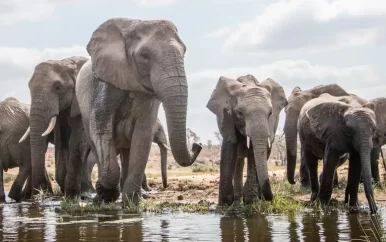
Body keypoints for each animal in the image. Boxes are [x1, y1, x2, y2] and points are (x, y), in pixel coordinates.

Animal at [20, 55, 91, 198]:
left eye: (58, 87)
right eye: (29, 87)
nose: (40, 191)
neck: (66, 62)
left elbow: (77, 139)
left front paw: (72, 194)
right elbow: (61, 141)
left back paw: (87, 192)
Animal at [74, 18, 202, 205]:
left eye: (184, 52)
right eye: (144, 56)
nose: (197, 145)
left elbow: (142, 136)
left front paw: (132, 202)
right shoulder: (105, 83)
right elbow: (101, 130)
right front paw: (105, 193)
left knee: (126, 151)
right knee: (95, 145)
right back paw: (101, 196)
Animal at [207, 74, 288, 205]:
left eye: (270, 113)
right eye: (239, 113)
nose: (271, 198)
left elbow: (257, 153)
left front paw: (251, 200)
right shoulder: (227, 118)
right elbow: (229, 151)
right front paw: (224, 205)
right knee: (238, 160)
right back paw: (237, 201)